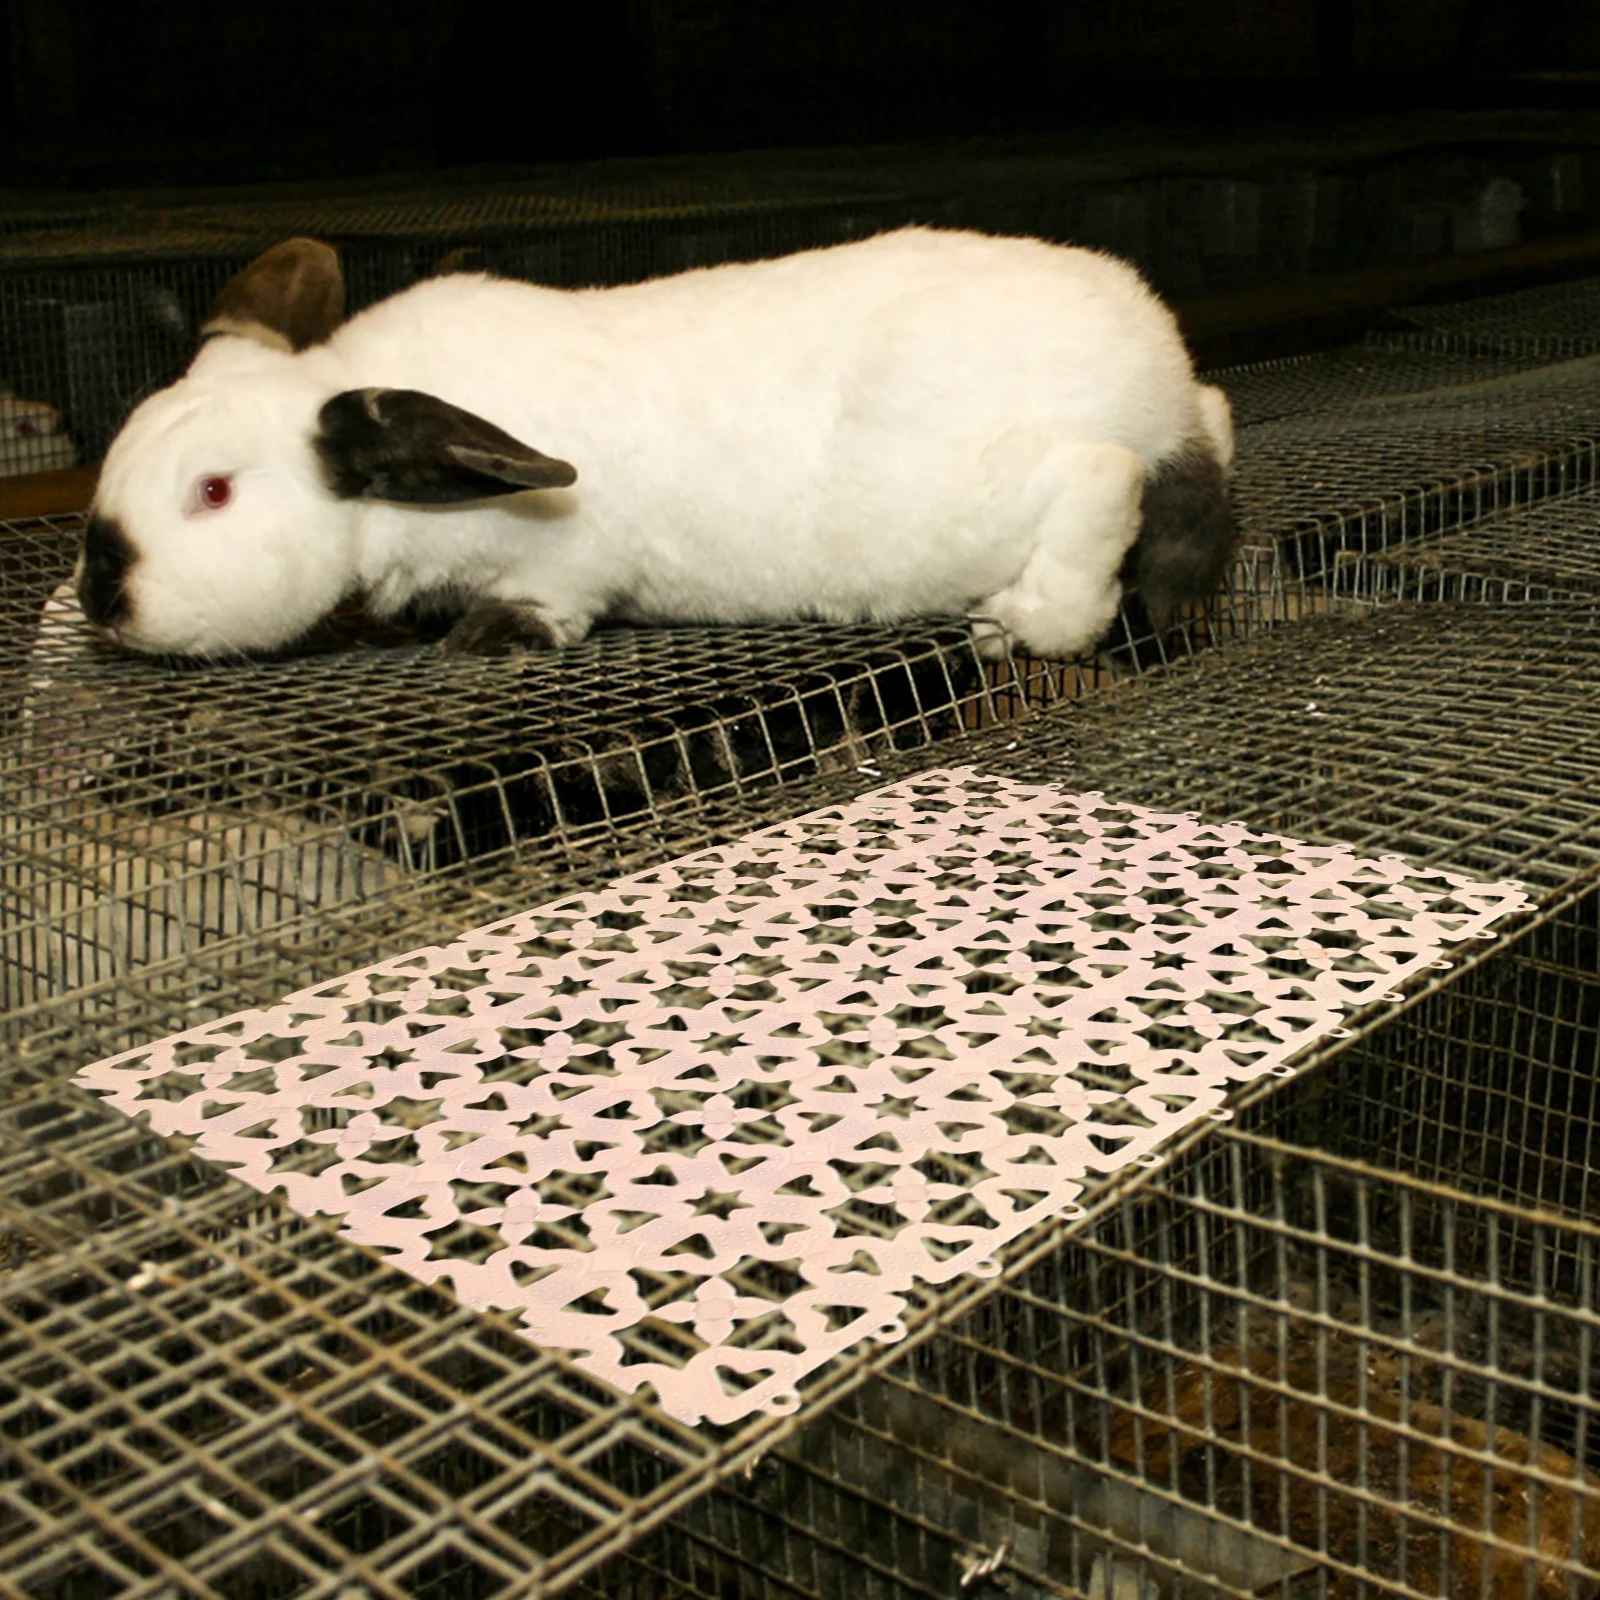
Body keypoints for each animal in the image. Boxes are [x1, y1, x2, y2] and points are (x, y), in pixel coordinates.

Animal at [78, 227, 1234, 661]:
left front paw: (491, 637)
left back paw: (1023, 622)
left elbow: (556, 595)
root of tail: (1151, 371)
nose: (103, 600)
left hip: (972, 501)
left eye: (214, 492)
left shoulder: (569, 555)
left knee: (1101, 478)